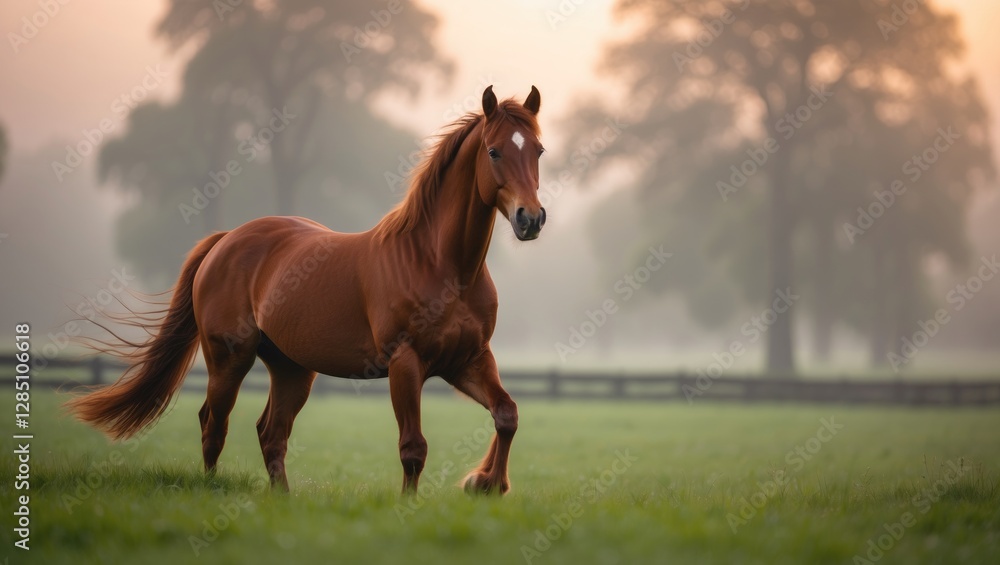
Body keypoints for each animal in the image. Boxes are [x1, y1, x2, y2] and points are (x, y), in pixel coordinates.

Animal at [66, 85, 547, 495]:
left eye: (538, 149)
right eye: (494, 151)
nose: (531, 219)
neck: (442, 266)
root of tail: (225, 241)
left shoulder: (468, 359)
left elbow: (507, 415)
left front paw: (485, 484)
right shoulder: (406, 363)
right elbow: (413, 448)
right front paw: (415, 505)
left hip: (292, 369)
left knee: (270, 433)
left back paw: (283, 498)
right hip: (228, 359)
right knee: (213, 423)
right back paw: (212, 488)